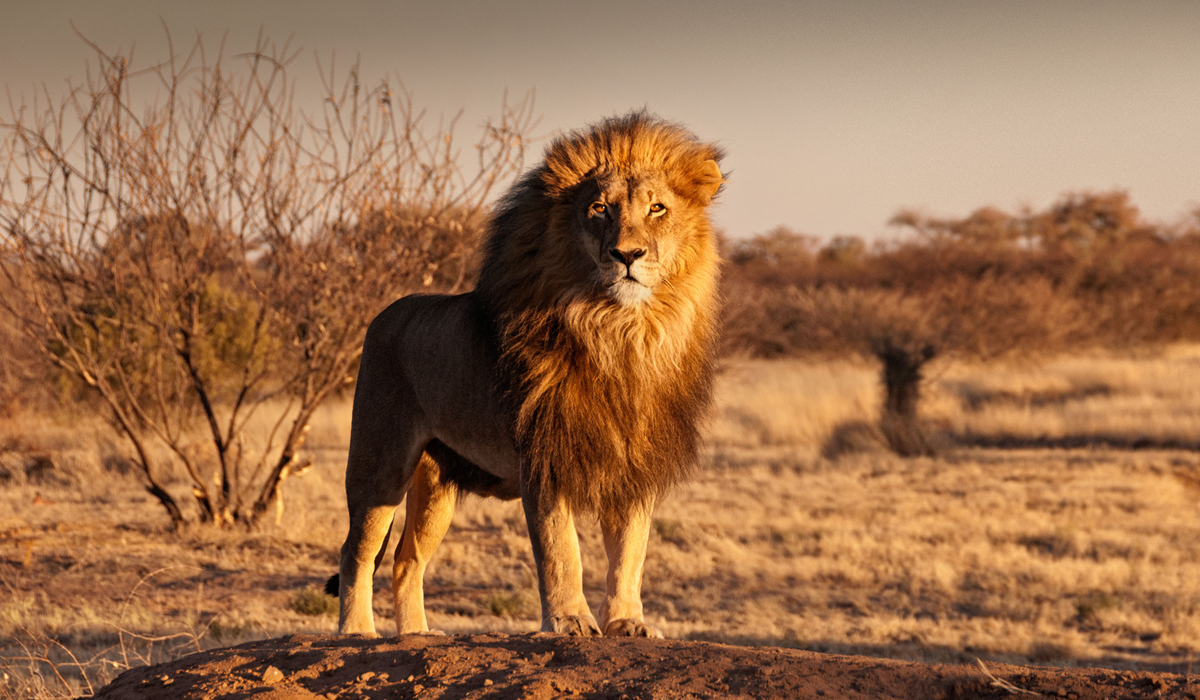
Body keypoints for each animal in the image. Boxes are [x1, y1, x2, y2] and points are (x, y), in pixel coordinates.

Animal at [326, 111, 720, 638]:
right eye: (599, 208)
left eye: (657, 208)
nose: (628, 255)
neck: (621, 333)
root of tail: (384, 314)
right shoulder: (544, 457)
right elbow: (561, 550)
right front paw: (570, 621)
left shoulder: (634, 464)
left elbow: (630, 552)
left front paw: (628, 622)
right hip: (380, 462)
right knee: (357, 551)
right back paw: (357, 632)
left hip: (435, 485)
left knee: (407, 561)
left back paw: (417, 635)